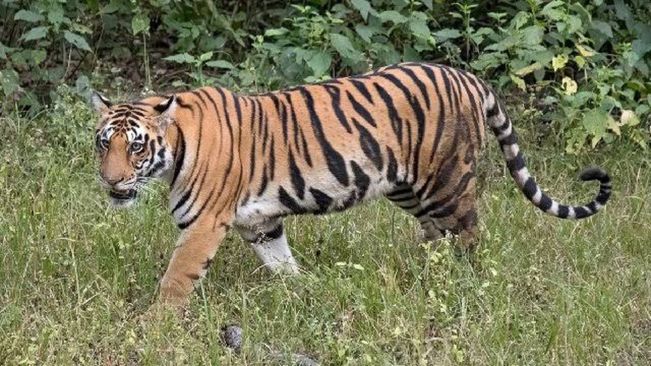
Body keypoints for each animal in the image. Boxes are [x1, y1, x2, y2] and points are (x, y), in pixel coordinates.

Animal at [90, 61, 612, 304]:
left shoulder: (203, 225)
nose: (111, 182)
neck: (175, 148)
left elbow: (176, 280)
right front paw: (303, 292)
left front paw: (155, 327)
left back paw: (463, 284)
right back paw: (425, 276)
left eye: (135, 147)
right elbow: (281, 262)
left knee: (469, 236)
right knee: (436, 236)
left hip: (446, 183)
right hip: (409, 188)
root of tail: (467, 77)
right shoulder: (259, 223)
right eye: (103, 144)